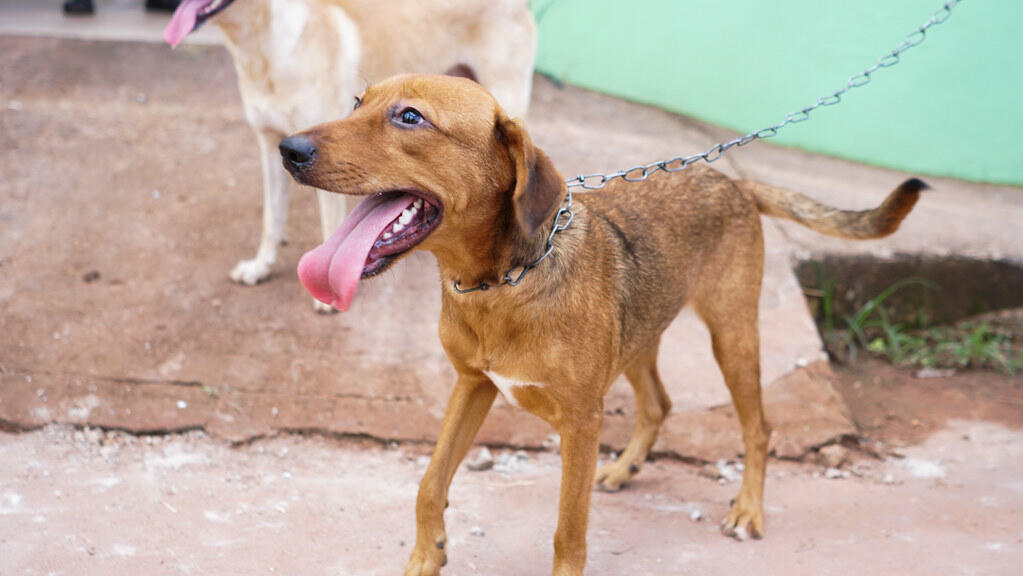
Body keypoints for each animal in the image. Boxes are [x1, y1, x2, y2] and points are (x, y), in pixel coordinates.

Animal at [163, 0, 536, 310]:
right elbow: (271, 218)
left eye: (409, 117)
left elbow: (331, 227)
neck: (263, 49)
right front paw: (260, 266)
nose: (291, 151)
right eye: (358, 103)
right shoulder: (270, 145)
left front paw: (325, 294)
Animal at [279, 75, 924, 575]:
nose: (288, 148)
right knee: (659, 402)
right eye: (356, 101)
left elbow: (568, 530)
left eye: (410, 117)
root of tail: (731, 180)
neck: (501, 284)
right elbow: (429, 485)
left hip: (732, 337)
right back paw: (627, 467)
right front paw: (425, 556)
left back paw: (748, 509)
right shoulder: (472, 384)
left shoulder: (580, 422)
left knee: (759, 428)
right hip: (637, 338)